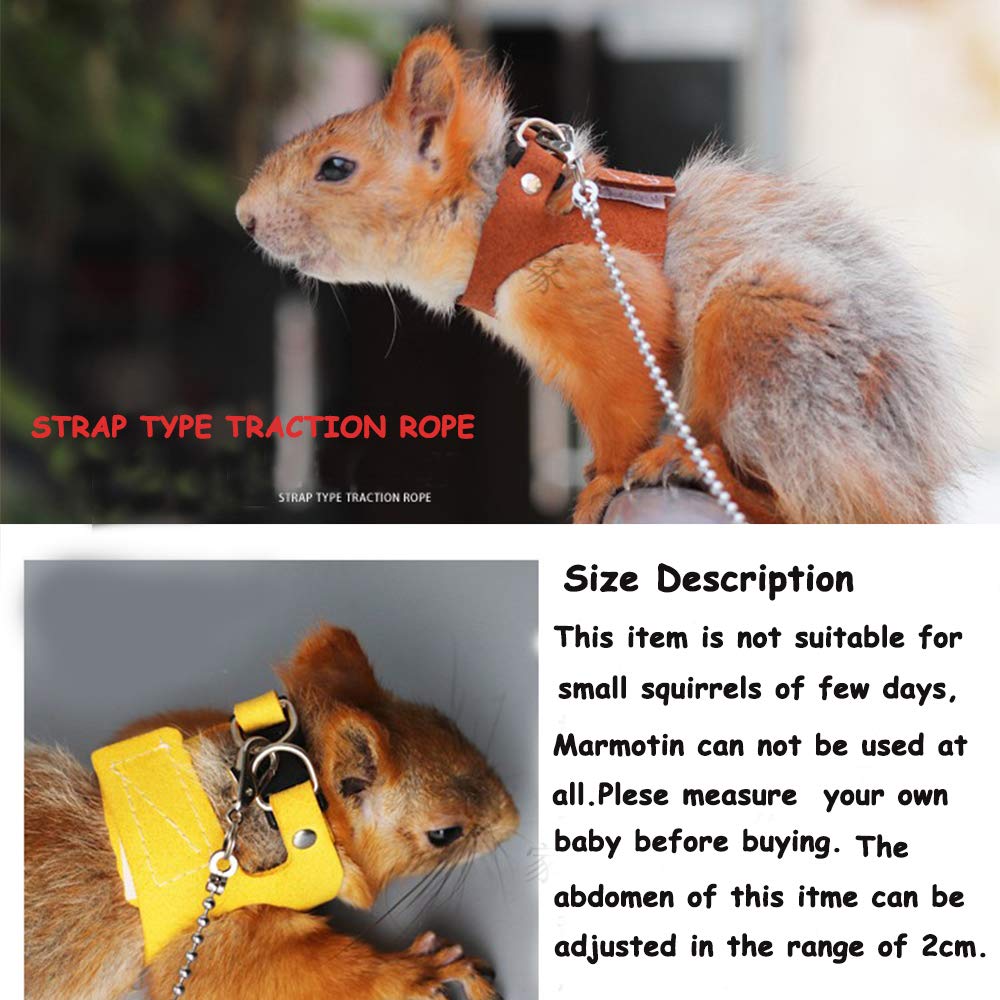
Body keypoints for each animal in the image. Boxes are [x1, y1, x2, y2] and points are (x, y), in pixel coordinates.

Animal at [235, 28, 968, 524]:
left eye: (335, 168)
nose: (244, 217)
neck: (505, 213)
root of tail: (911, 479)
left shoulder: (606, 303)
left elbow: (623, 408)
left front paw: (599, 483)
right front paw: (592, 471)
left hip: (770, 343)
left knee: (816, 504)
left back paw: (692, 465)